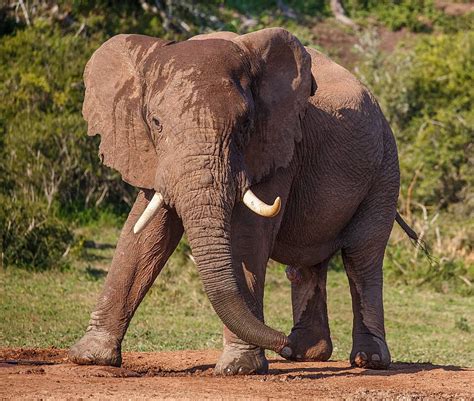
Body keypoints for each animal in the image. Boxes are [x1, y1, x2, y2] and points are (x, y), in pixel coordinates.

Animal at [67, 27, 412, 372]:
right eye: (155, 122)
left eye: (246, 123)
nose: (279, 343)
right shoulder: (154, 156)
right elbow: (145, 235)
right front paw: (89, 356)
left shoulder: (277, 144)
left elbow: (249, 237)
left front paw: (240, 367)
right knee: (307, 265)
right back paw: (304, 353)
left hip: (385, 169)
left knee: (361, 256)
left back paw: (368, 360)